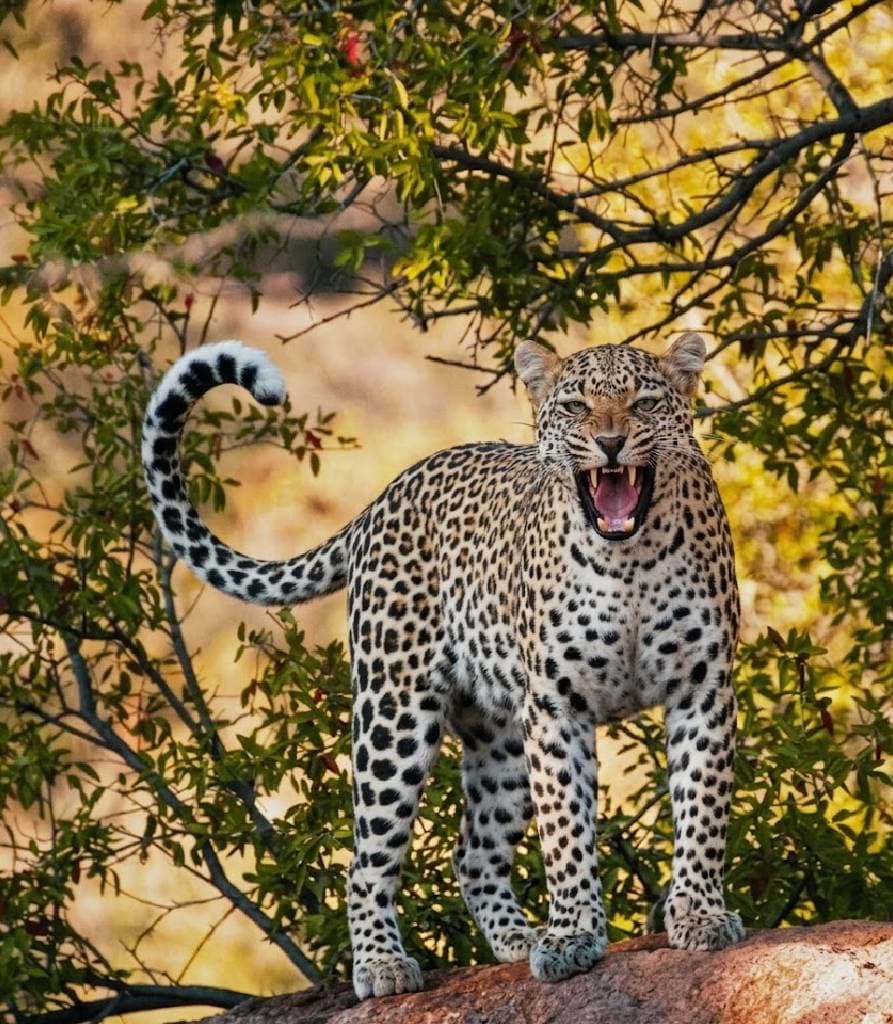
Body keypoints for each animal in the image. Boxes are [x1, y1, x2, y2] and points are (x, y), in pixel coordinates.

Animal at [141, 332, 745, 1000]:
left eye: (643, 403)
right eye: (576, 408)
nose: (610, 443)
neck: (629, 561)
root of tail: (381, 499)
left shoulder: (703, 688)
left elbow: (701, 808)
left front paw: (698, 914)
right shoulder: (556, 705)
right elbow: (565, 829)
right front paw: (573, 935)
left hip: (501, 741)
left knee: (473, 854)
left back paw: (519, 939)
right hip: (394, 715)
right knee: (364, 863)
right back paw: (383, 964)